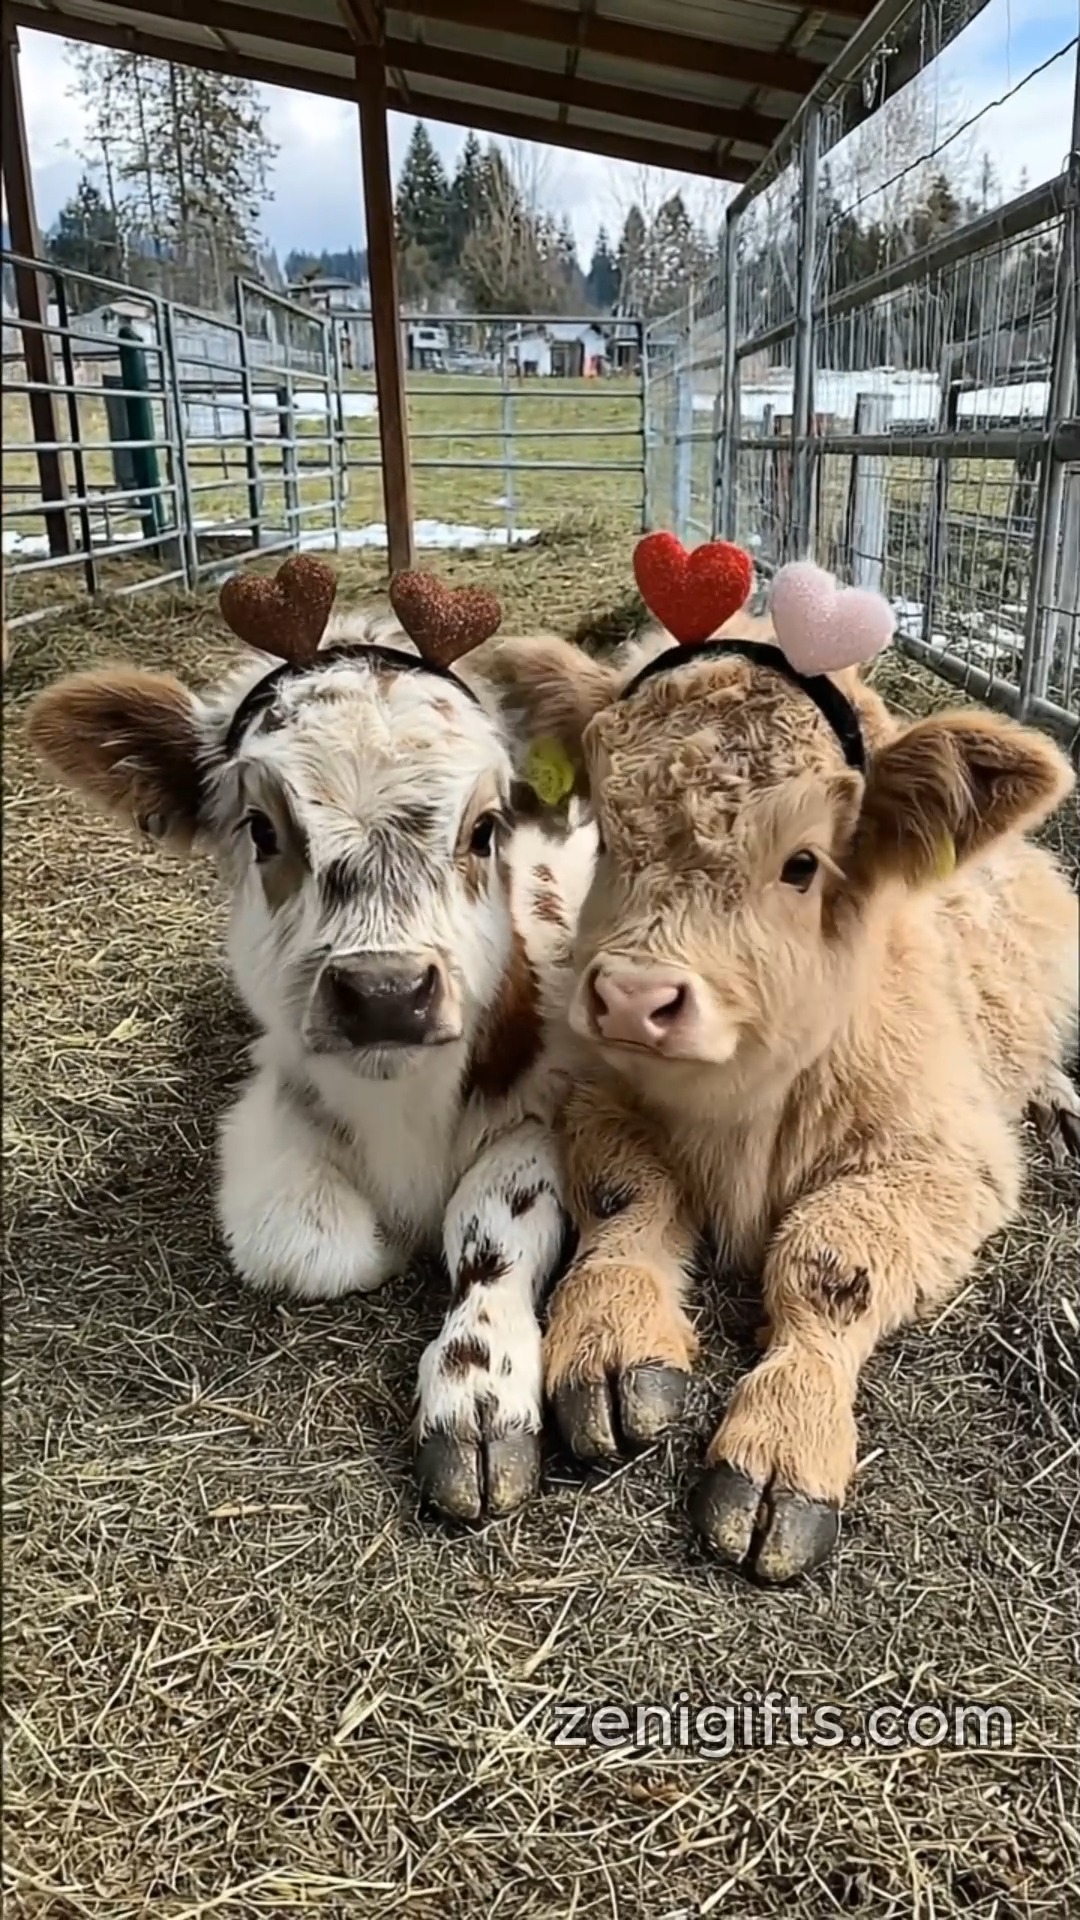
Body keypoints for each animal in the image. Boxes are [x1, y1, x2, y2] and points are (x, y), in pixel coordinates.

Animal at [28, 556, 596, 1525]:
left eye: (485, 828)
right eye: (262, 828)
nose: (386, 994)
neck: (404, 1108)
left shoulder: (540, 1109)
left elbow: (490, 1232)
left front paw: (477, 1393)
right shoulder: (267, 1108)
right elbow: (315, 1246)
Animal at [488, 540, 1079, 1584]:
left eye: (802, 864)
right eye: (609, 829)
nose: (634, 997)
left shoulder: (948, 1162)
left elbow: (828, 1261)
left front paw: (781, 1448)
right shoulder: (598, 1095)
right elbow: (627, 1201)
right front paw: (611, 1338)